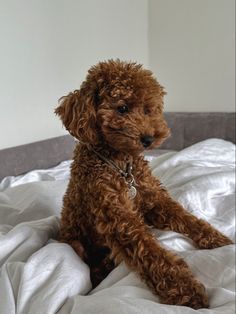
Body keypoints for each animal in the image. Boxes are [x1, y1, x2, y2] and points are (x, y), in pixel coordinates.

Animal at [55, 59, 232, 310]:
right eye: (122, 108)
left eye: (148, 109)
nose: (149, 139)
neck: (121, 165)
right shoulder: (119, 219)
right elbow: (152, 253)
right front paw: (186, 290)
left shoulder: (154, 200)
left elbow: (187, 219)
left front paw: (219, 241)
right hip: (75, 244)